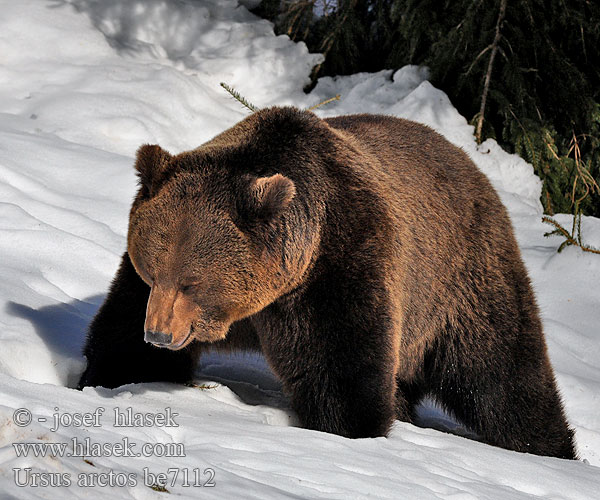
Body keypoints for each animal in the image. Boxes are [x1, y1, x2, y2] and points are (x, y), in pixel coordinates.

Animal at [76, 107, 576, 458]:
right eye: (154, 270)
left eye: (192, 283)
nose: (159, 335)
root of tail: (474, 169)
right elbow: (121, 330)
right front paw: (115, 377)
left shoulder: (339, 267)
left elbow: (340, 367)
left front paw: (349, 429)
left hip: (459, 282)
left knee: (501, 372)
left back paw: (550, 447)